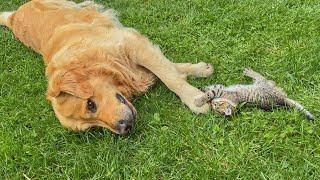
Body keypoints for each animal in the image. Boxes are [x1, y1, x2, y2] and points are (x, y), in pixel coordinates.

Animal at [1, 0, 214, 135]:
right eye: (92, 126)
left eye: (90, 104)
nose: (124, 129)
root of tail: (13, 17)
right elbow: (167, 69)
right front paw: (198, 71)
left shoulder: (133, 45)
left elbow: (169, 77)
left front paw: (195, 99)